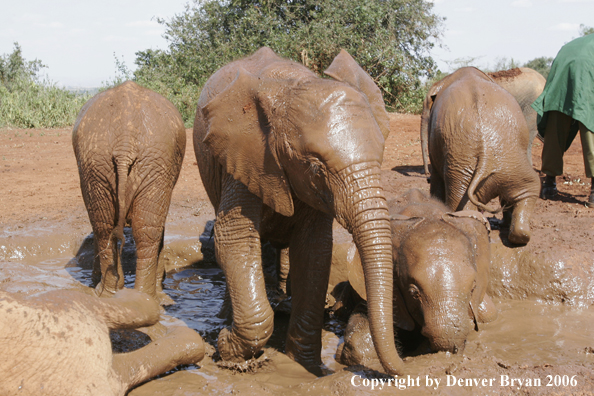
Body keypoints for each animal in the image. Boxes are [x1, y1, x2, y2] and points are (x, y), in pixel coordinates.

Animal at [192, 46, 400, 374]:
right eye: (316, 168)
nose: (402, 370)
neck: (292, 86)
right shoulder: (244, 155)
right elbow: (235, 237)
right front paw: (228, 350)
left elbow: (314, 248)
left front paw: (305, 364)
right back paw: (226, 317)